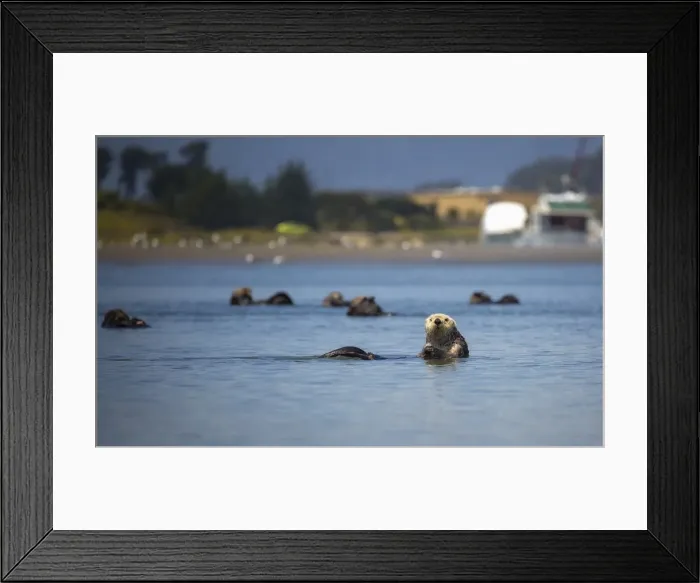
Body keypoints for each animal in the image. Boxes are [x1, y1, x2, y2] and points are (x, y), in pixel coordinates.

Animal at [321, 313, 468, 361]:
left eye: (446, 319)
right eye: (431, 319)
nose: (437, 320)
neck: (440, 343)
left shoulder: (457, 345)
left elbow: (451, 354)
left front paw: (432, 349)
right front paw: (427, 349)